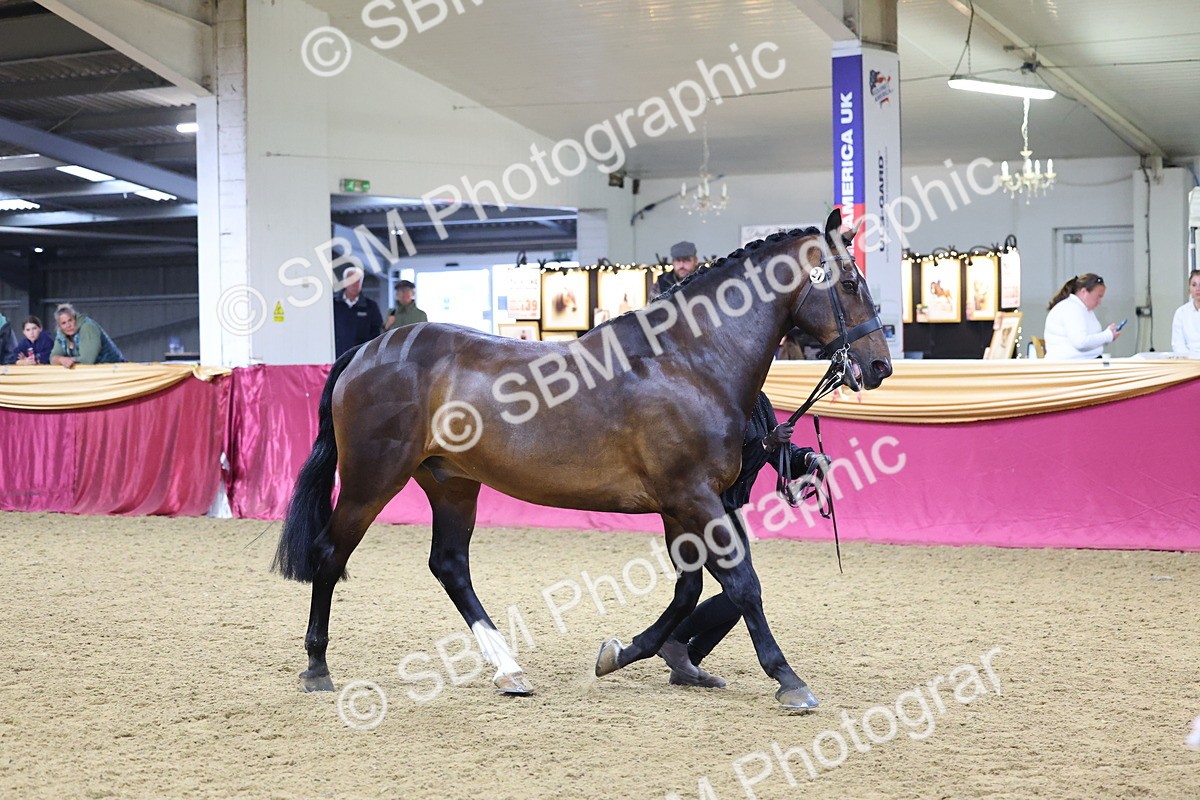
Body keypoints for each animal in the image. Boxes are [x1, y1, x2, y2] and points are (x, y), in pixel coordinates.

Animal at [273, 208, 892, 710]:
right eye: (851, 282)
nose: (880, 365)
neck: (688, 360)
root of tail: (367, 350)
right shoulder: (692, 497)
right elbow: (741, 584)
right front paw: (788, 679)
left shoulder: (683, 506)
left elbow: (690, 590)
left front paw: (625, 652)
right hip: (372, 479)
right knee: (330, 554)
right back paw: (317, 667)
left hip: (452, 483)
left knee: (449, 565)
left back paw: (509, 670)